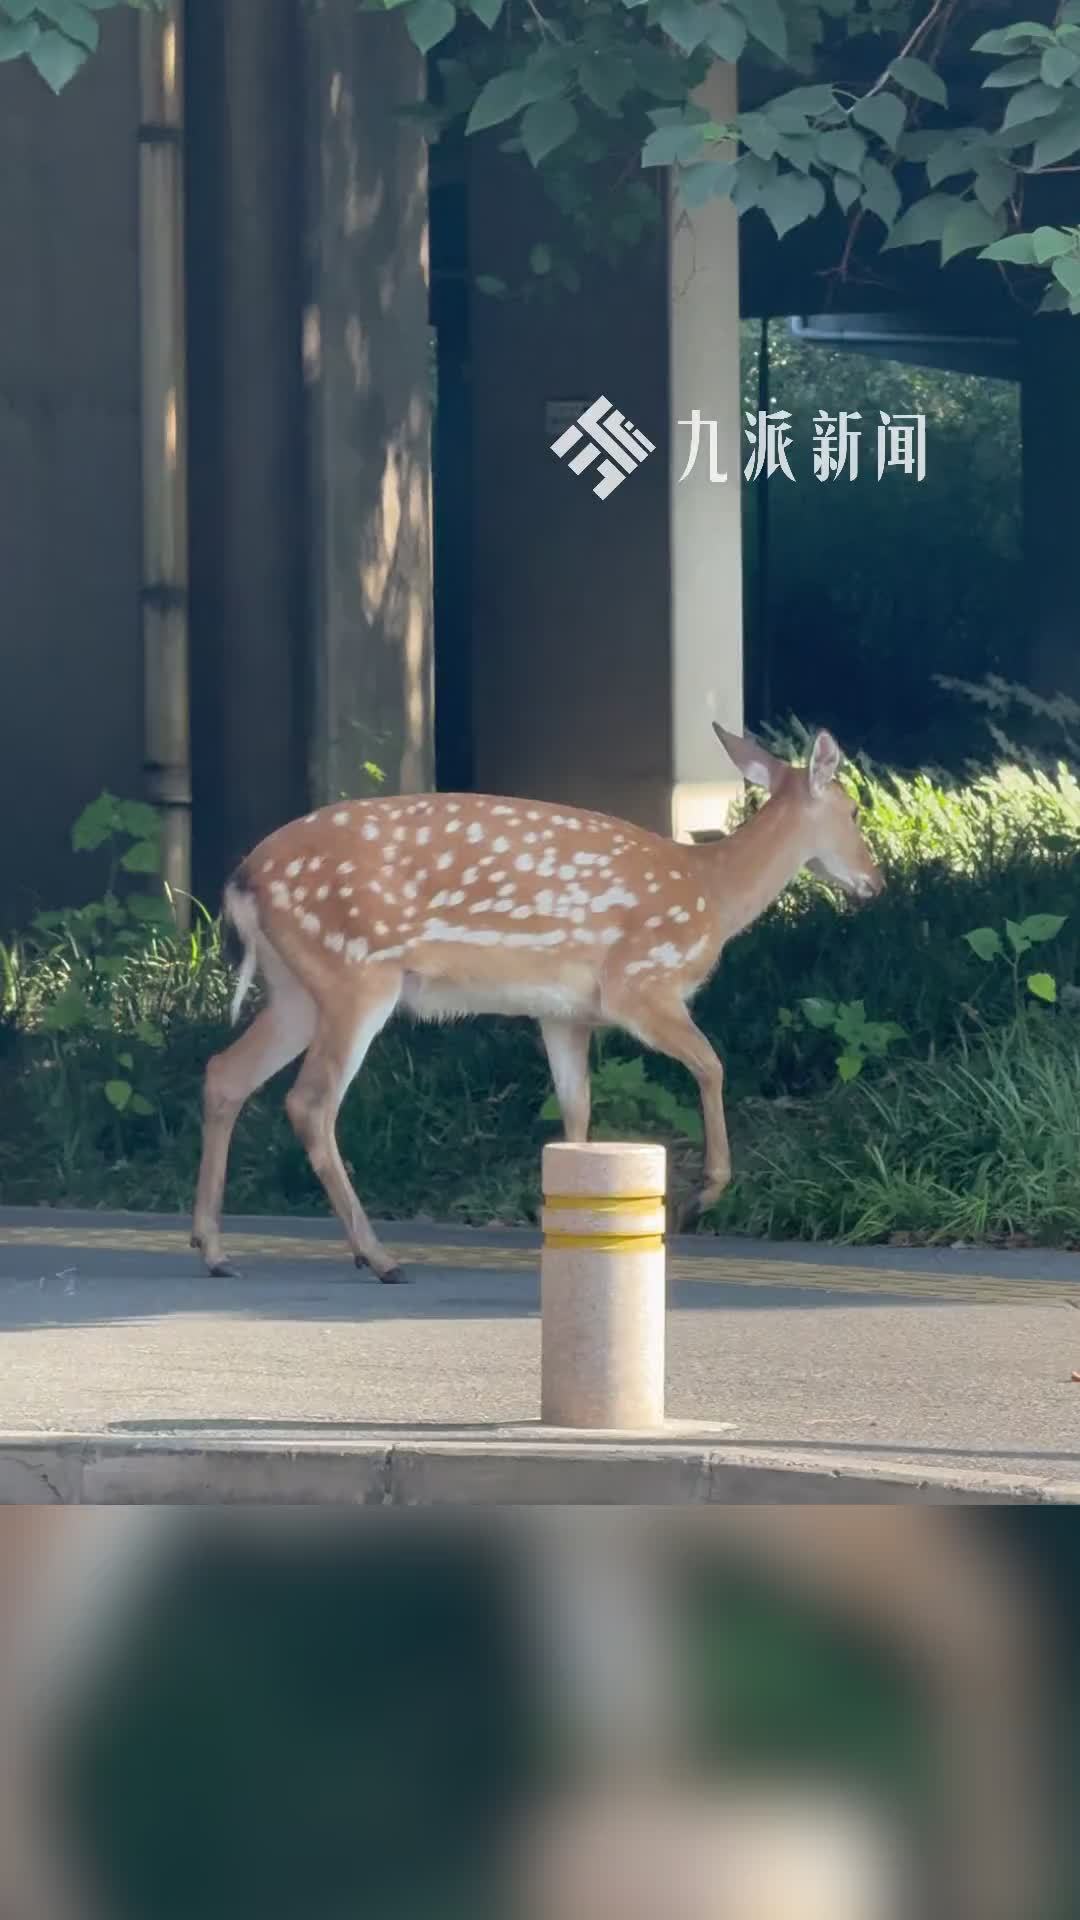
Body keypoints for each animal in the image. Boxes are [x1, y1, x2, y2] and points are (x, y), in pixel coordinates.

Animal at [191, 725, 883, 1281]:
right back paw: (379, 1257)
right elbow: (711, 1064)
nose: (875, 881)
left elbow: (577, 1114)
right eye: (853, 810)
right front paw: (700, 1195)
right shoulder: (639, 983)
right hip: (356, 973)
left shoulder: (564, 1012)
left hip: (296, 988)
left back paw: (214, 1248)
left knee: (225, 1073)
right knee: (310, 1103)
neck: (712, 893)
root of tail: (242, 880)